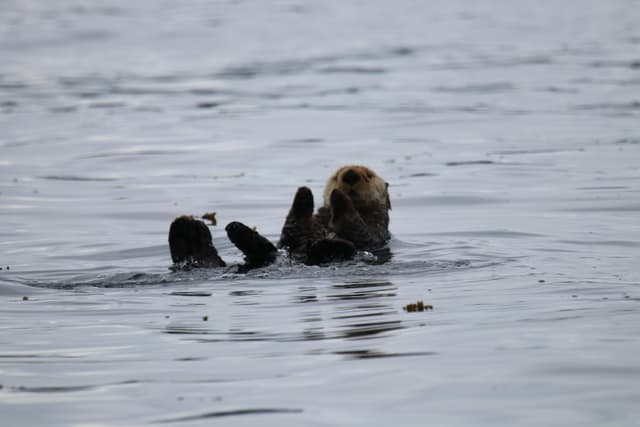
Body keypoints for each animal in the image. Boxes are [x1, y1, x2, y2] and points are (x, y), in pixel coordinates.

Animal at [168, 165, 391, 270]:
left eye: (369, 175)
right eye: (336, 175)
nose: (350, 174)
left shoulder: (374, 231)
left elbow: (359, 230)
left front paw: (339, 198)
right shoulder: (295, 234)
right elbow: (293, 229)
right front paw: (303, 194)